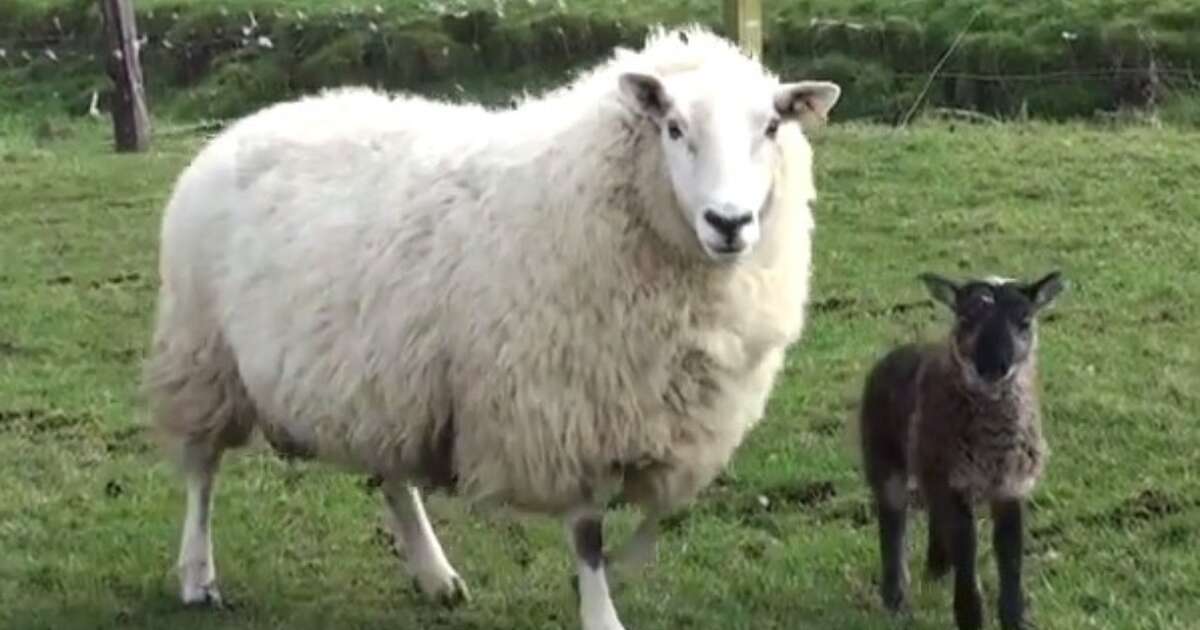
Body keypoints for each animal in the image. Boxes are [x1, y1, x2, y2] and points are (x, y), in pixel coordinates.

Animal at [145, 24, 844, 628]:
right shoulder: (565, 406)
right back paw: (198, 575)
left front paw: (630, 565)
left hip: (380, 372)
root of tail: (244, 125)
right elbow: (588, 535)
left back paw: (434, 575)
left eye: (772, 126)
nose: (730, 222)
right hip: (202, 350)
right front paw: (602, 614)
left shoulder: (658, 414)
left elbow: (653, 517)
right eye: (674, 128)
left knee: (391, 475)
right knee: (202, 471)